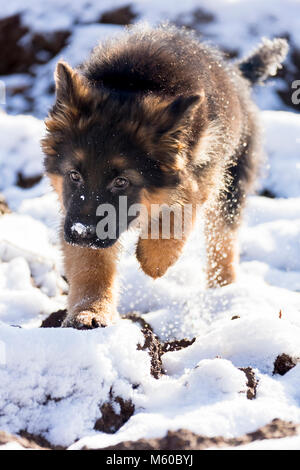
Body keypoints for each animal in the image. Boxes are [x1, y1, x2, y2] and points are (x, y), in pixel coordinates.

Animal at [41, 23, 288, 328]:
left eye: (121, 181)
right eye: (74, 175)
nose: (81, 233)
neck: (133, 85)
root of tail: (238, 74)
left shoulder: (205, 167)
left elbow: (182, 205)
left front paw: (156, 259)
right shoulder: (74, 210)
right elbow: (90, 263)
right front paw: (90, 311)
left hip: (233, 183)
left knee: (224, 241)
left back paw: (224, 292)